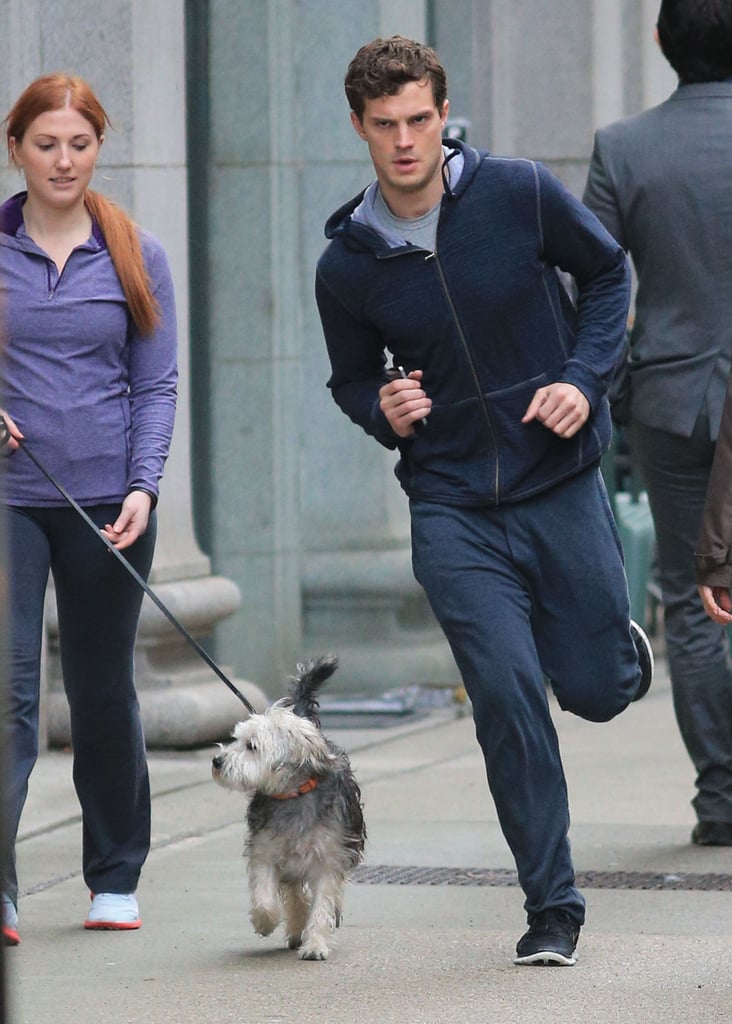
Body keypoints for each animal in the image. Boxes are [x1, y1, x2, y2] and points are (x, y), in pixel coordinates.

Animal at [210, 655, 364, 958]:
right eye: (235, 739)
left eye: (252, 746)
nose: (217, 761)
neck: (293, 795)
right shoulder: (265, 851)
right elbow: (265, 896)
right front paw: (265, 921)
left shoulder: (328, 859)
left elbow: (322, 905)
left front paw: (315, 945)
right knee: (294, 894)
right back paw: (294, 931)